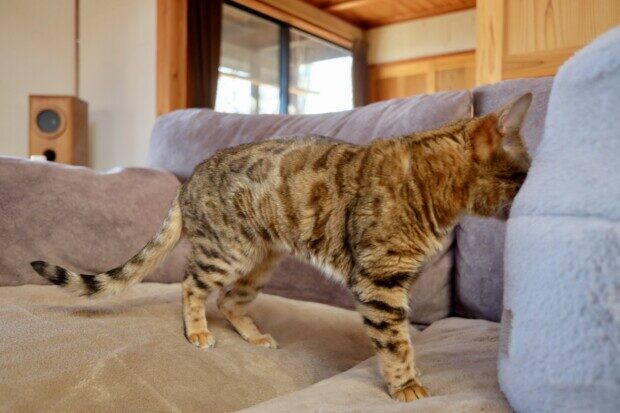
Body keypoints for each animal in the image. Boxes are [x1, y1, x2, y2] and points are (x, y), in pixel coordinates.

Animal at [31, 93, 532, 402]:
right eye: (525, 171)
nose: (533, 190)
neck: (432, 186)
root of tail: (187, 179)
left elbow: (401, 339)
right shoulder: (379, 282)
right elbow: (395, 343)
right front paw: (407, 387)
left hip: (259, 263)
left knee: (228, 300)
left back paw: (254, 336)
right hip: (227, 252)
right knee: (190, 286)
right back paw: (197, 332)